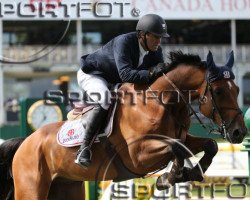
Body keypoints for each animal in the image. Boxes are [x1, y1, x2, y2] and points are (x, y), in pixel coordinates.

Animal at [0, 50, 246, 199]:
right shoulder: (138, 155)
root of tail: (25, 142)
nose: (239, 133)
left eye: (237, 90)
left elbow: (208, 145)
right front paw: (168, 178)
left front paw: (190, 172)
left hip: (66, 187)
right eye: (218, 91)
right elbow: (175, 147)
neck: (162, 102)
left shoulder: (184, 138)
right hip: (32, 189)